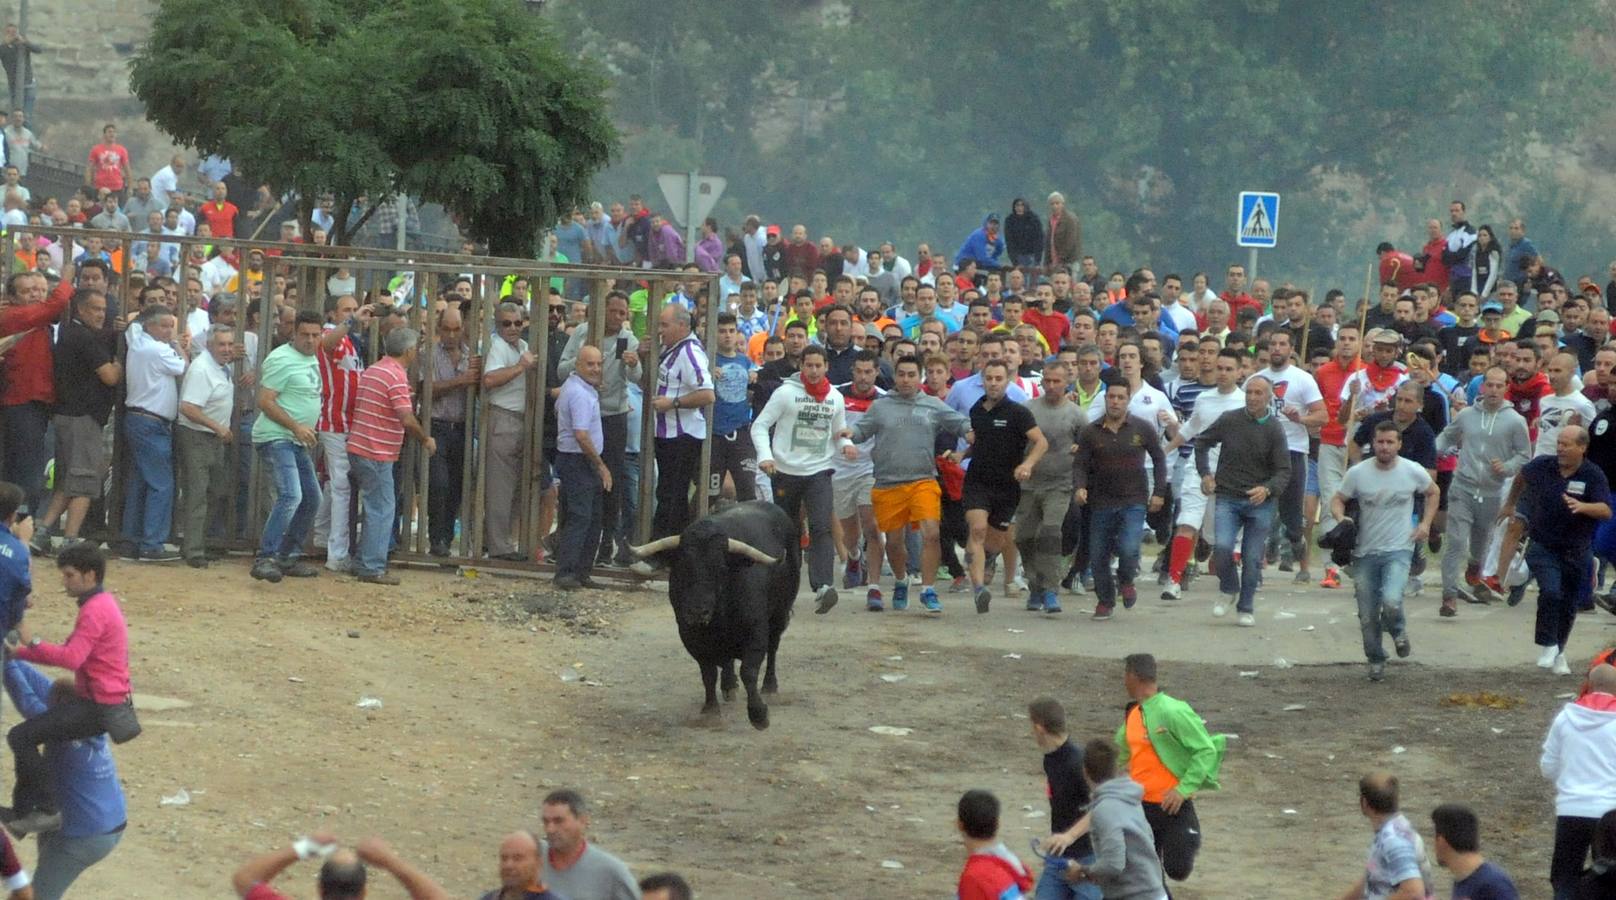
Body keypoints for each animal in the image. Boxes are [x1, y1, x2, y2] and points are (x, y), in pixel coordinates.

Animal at [633, 500, 804, 727]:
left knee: (773, 648)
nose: (697, 611)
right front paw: (711, 710)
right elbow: (708, 673)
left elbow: (749, 671)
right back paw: (729, 685)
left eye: (721, 568)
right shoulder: (690, 636)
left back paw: (770, 687)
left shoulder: (757, 632)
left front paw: (759, 714)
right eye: (682, 567)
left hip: (780, 613)